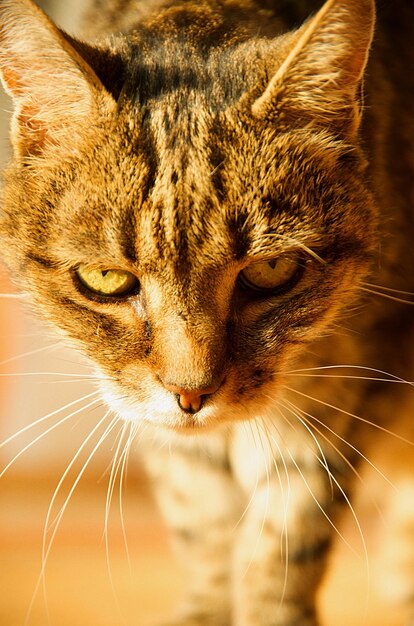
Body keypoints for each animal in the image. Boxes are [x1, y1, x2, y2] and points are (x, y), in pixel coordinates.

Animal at [0, 0, 412, 620]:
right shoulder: (149, 415)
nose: (191, 394)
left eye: (272, 270)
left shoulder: (348, 376)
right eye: (106, 279)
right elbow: (202, 518)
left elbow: (286, 530)